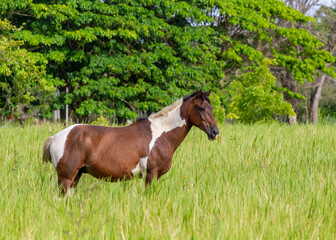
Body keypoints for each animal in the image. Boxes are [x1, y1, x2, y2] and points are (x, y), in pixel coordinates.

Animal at [42, 90, 220, 195]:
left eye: (211, 108)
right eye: (201, 108)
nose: (215, 132)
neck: (161, 134)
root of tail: (56, 137)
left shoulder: (157, 177)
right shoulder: (150, 174)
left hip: (76, 176)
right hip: (65, 178)